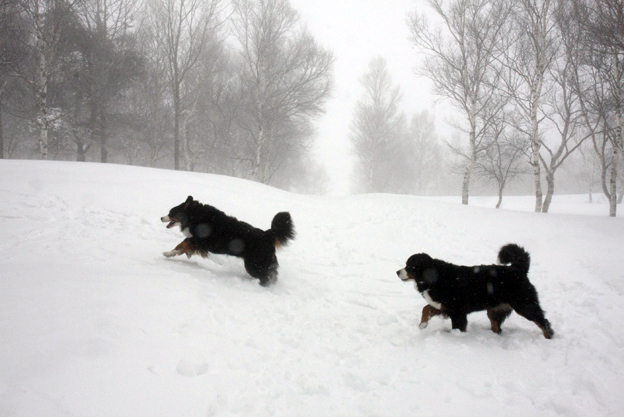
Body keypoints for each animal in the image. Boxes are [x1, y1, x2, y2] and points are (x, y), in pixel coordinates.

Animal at [163, 196, 294, 286]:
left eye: (171, 213)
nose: (161, 218)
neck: (195, 216)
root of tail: (267, 234)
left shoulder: (201, 241)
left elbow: (185, 243)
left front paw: (183, 253)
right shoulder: (196, 241)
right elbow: (180, 245)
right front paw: (169, 253)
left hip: (254, 264)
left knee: (265, 277)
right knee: (272, 275)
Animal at [398, 244, 552, 338]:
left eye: (409, 266)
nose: (397, 272)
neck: (435, 277)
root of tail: (517, 268)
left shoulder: (456, 310)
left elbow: (457, 327)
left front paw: (455, 337)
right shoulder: (443, 306)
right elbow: (425, 309)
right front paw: (422, 325)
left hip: (524, 305)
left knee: (542, 321)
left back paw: (548, 336)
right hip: (494, 310)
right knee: (496, 327)